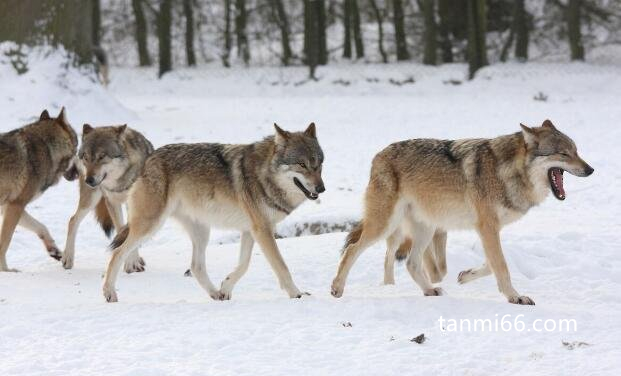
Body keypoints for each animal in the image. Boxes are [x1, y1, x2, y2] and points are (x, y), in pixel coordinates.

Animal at [0, 107, 77, 272]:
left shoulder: (9, 206)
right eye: (78, 152)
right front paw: (6, 271)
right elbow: (4, 243)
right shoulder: (16, 206)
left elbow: (41, 227)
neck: (47, 149)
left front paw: (54, 250)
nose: (78, 174)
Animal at [60, 123, 153, 270]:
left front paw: (132, 262)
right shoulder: (112, 202)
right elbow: (121, 231)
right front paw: (131, 262)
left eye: (102, 156)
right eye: (86, 157)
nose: (89, 180)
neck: (119, 184)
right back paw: (67, 258)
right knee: (73, 220)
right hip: (91, 199)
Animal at [101, 123, 324, 302]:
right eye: (302, 164)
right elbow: (281, 267)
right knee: (117, 253)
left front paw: (226, 287)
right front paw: (297, 294)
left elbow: (244, 264)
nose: (321, 189)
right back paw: (109, 293)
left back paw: (215, 294)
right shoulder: (262, 230)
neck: (264, 175)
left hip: (201, 232)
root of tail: (149, 158)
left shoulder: (251, 230)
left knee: (196, 267)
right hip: (150, 226)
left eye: (319, 164)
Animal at [332, 120, 592, 306]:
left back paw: (429, 290)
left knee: (411, 263)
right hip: (386, 224)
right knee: (353, 249)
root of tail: (379, 155)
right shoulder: (487, 227)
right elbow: (501, 265)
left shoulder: (489, 230)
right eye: (563, 154)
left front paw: (465, 275)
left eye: (576, 151)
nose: (590, 170)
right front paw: (515, 297)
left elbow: (492, 263)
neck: (506, 172)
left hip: (425, 228)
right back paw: (337, 288)